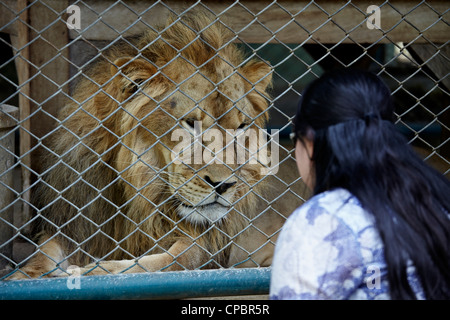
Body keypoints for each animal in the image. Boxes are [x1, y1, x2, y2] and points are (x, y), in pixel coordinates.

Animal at [10, 11, 308, 278]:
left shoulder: (202, 243)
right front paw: (24, 276)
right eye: (190, 123)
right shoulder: (75, 225)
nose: (224, 185)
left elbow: (164, 263)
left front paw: (96, 271)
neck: (137, 192)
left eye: (241, 127)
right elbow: (42, 255)